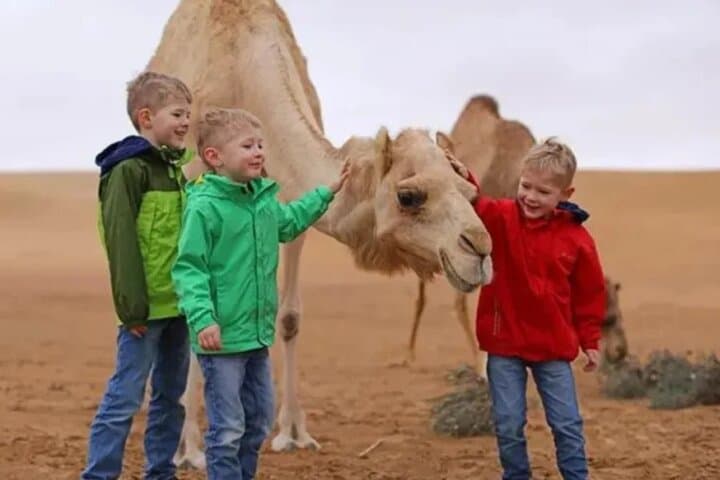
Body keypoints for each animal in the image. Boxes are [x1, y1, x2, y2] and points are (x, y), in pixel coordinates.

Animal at [145, 0, 494, 468]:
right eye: (408, 196)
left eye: (469, 191)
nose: (479, 249)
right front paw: (190, 449)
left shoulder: (288, 207)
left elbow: (290, 317)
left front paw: (293, 432)